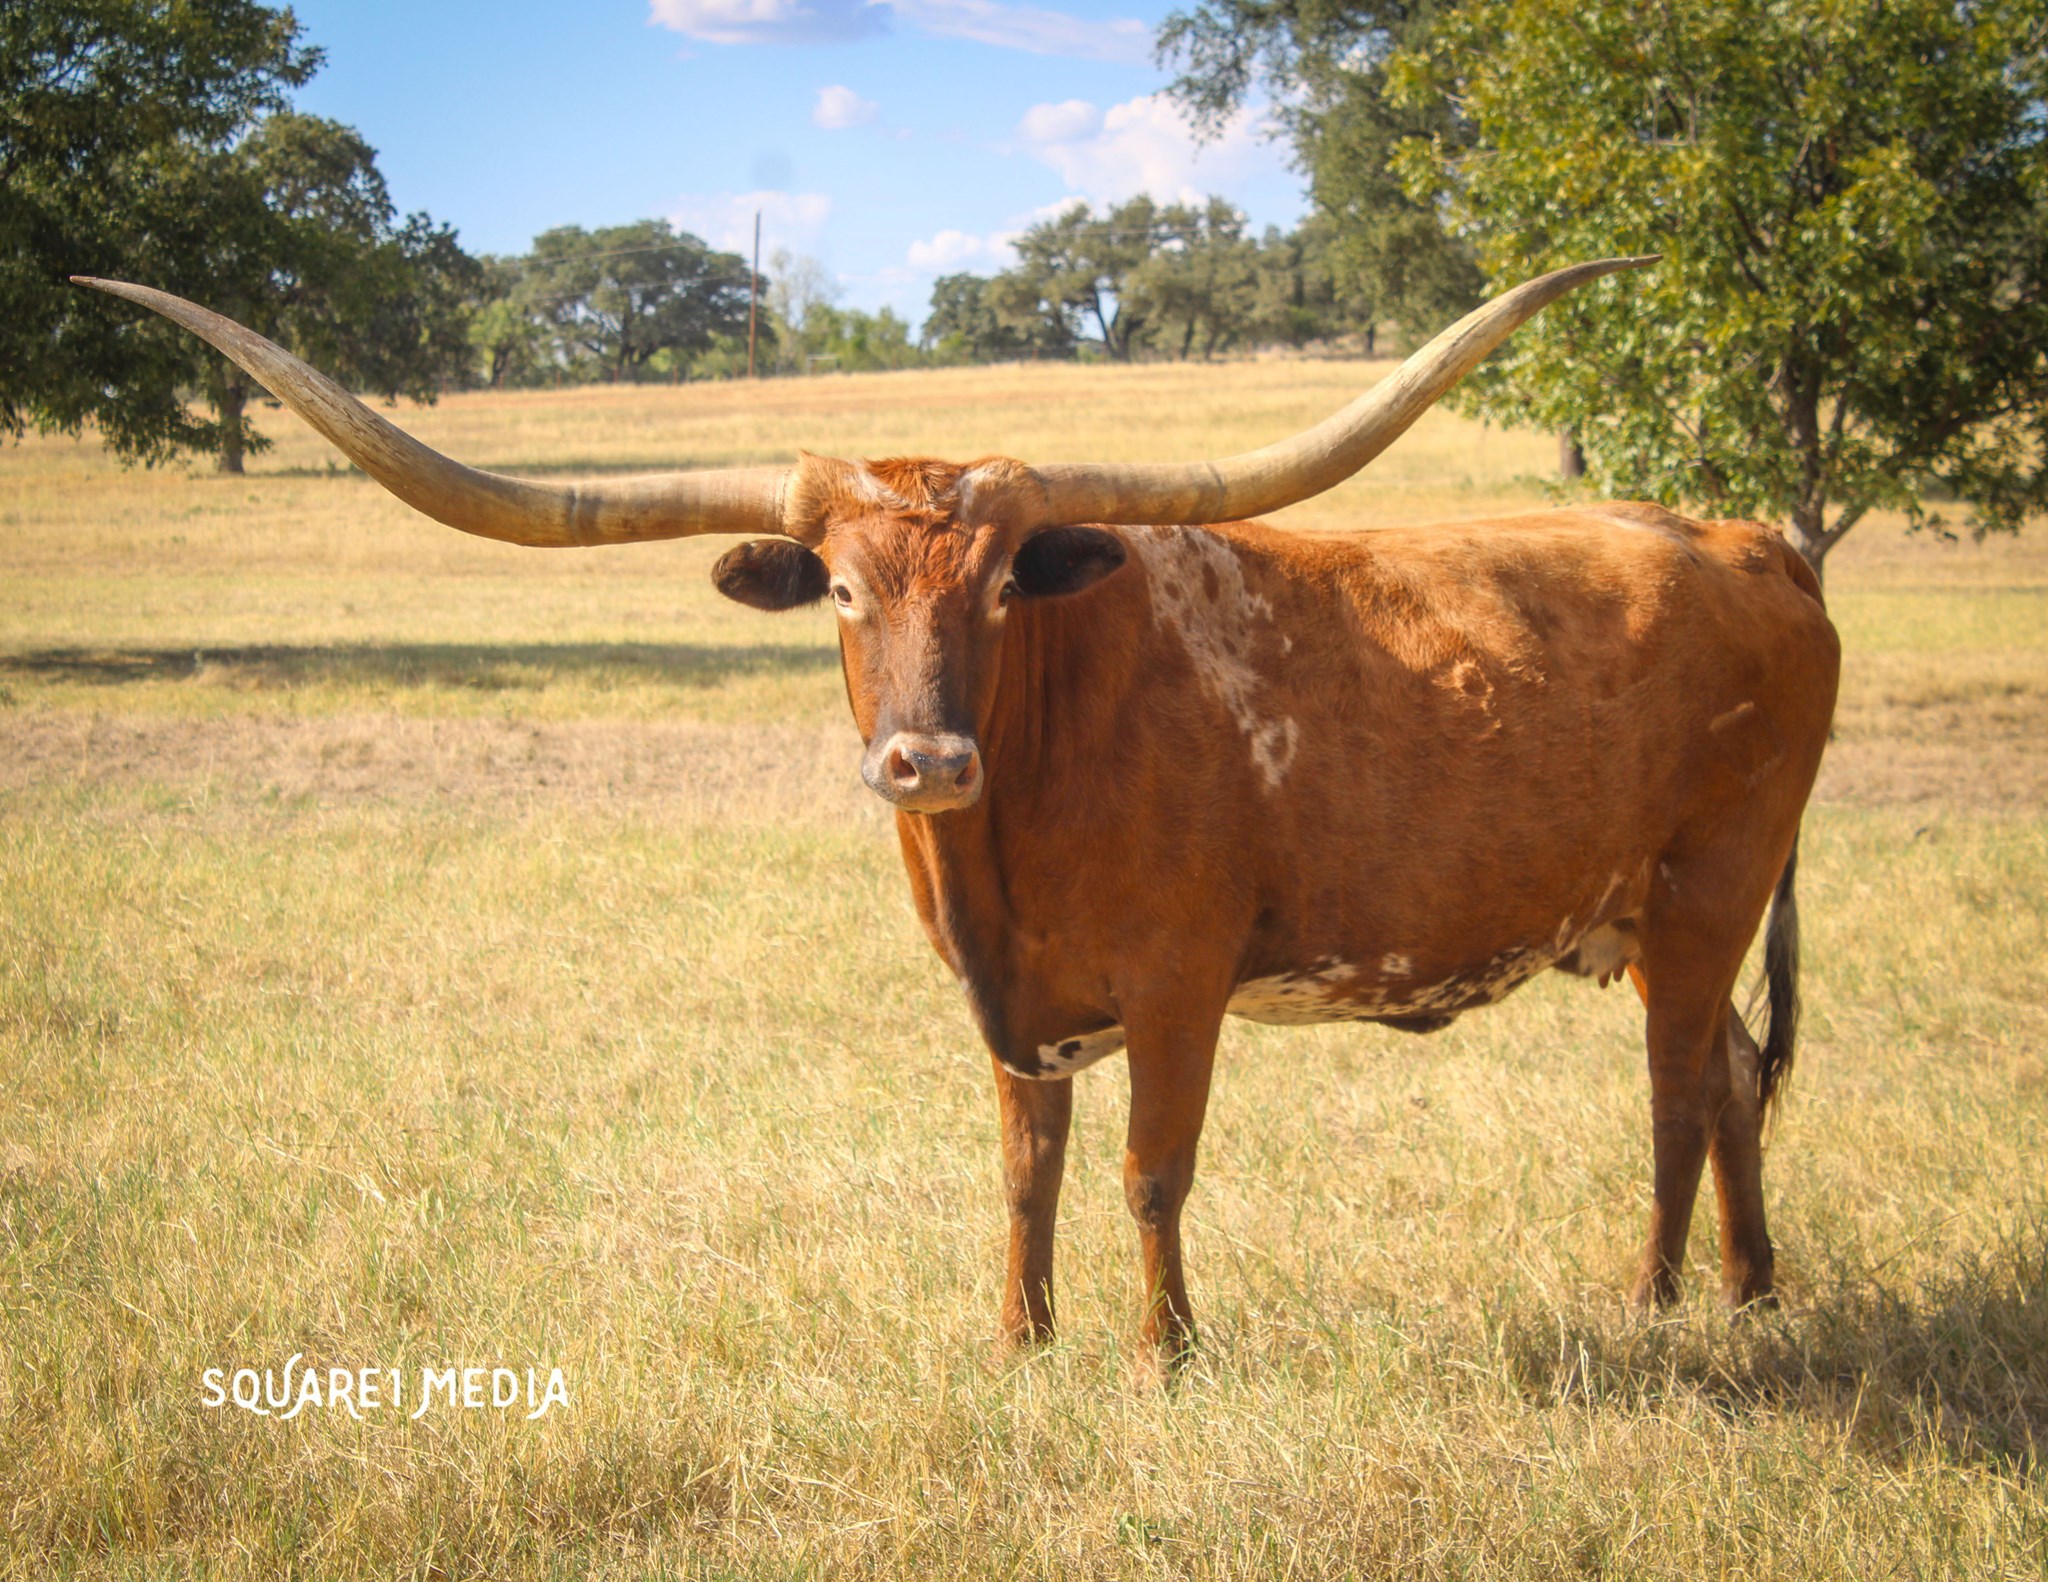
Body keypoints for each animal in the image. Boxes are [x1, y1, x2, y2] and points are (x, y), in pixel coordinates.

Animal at [75, 261, 1840, 1361]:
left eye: (999, 586)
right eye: (845, 591)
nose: (922, 761)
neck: (1007, 825)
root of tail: (1753, 538)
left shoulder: (1180, 984)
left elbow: (1148, 1171)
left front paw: (1161, 1356)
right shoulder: (1013, 1009)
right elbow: (1024, 1171)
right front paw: (1019, 1340)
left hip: (1704, 889)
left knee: (1678, 1093)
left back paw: (1658, 1306)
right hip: (1639, 914)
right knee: (1736, 1079)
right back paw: (1754, 1295)